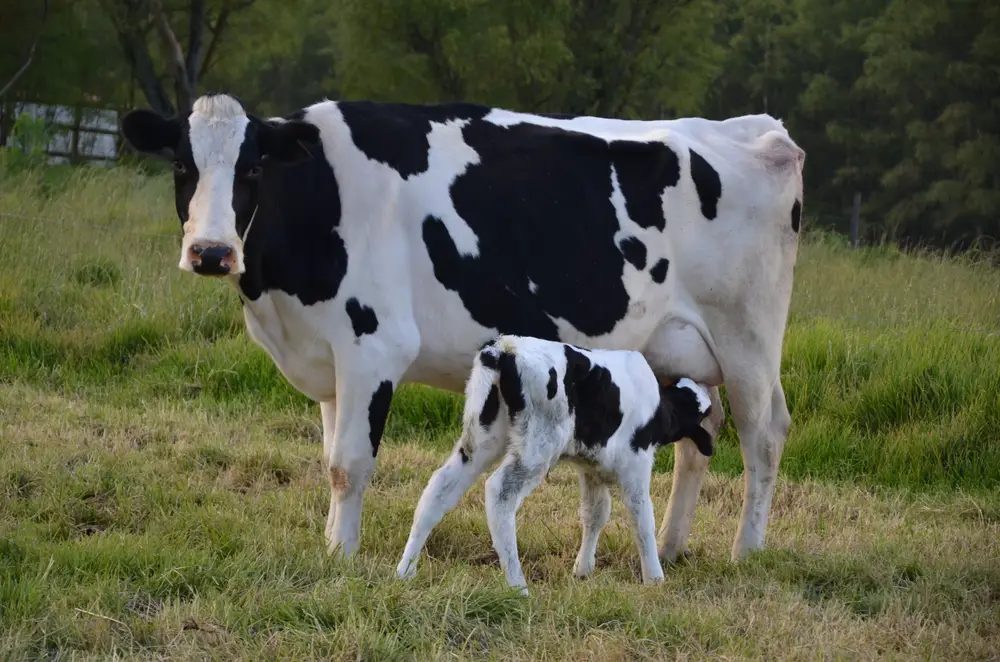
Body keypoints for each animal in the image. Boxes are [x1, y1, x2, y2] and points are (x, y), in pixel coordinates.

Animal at [394, 334, 716, 592]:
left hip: (481, 439)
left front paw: (583, 570)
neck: (659, 406)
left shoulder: (591, 468)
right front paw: (654, 579)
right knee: (499, 493)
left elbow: (596, 513)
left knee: (440, 488)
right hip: (537, 446)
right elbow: (642, 518)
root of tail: (503, 348)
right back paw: (518, 587)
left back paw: (405, 572)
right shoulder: (636, 464)